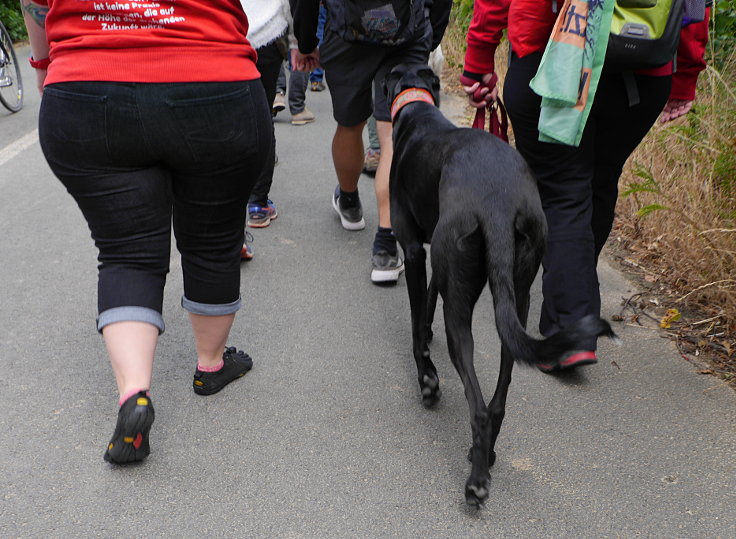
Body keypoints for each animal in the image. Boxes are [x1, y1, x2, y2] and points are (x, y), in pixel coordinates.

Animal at [386, 65, 616, 508]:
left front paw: (427, 379)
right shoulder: (438, 261)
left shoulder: (415, 250)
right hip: (518, 298)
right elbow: (426, 304)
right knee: (498, 399)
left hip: (461, 311)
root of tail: (496, 202)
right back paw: (487, 454)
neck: (417, 109)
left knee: (477, 405)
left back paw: (476, 483)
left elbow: (415, 327)